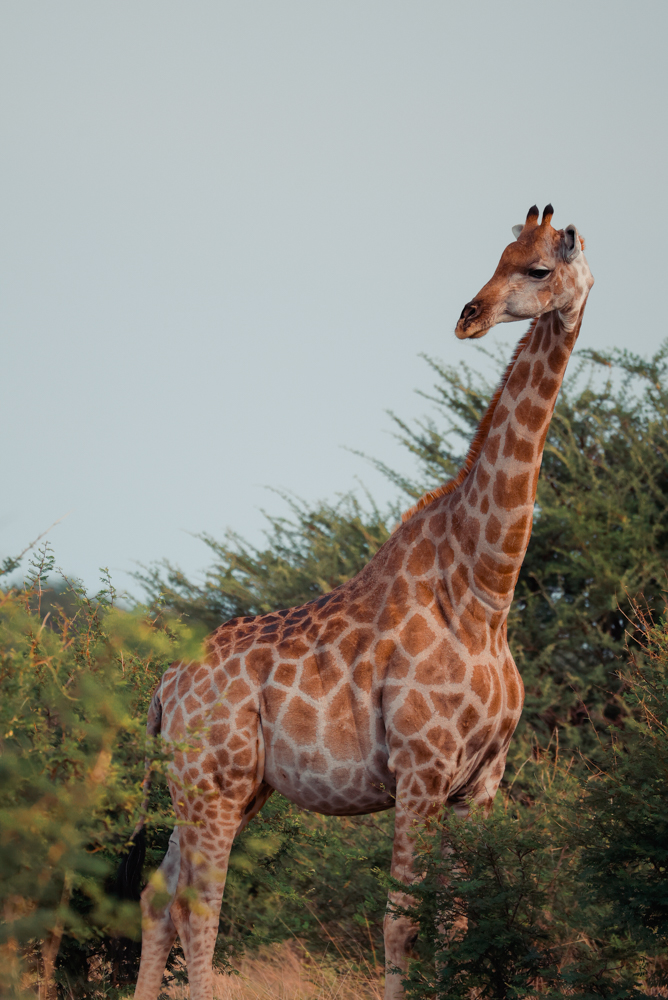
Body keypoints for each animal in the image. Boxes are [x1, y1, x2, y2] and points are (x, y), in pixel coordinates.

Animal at [129, 204, 593, 1000]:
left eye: (536, 267)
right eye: (499, 258)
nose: (469, 317)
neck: (485, 594)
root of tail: (167, 686)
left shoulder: (480, 783)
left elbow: (461, 921)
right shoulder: (420, 769)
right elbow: (402, 918)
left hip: (220, 787)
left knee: (158, 895)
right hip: (214, 784)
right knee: (200, 905)